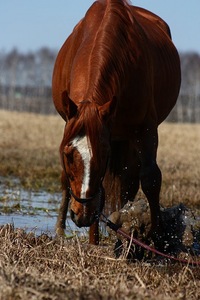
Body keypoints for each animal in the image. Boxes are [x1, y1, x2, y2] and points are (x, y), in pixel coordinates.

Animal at [52, 0, 181, 248]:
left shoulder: (145, 129)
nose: (81, 215)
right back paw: (65, 230)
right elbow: (77, 180)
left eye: (104, 154)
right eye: (68, 154)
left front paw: (157, 237)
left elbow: (150, 178)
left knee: (130, 181)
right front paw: (92, 239)